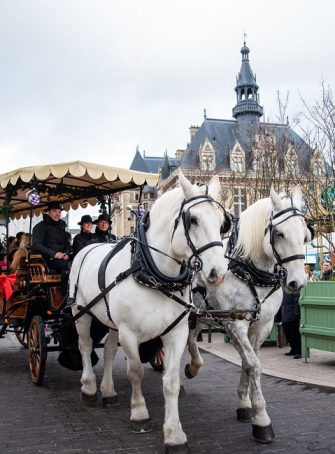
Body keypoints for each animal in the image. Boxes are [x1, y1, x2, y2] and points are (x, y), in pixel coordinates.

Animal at [68, 170, 231, 454]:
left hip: (110, 321)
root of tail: (86, 248)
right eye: (193, 219)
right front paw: (139, 414)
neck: (154, 274)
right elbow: (135, 372)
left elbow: (170, 382)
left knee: (108, 352)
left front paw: (174, 434)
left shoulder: (175, 333)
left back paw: (108, 392)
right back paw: (88, 388)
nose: (217, 273)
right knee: (86, 346)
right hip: (82, 313)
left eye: (223, 223)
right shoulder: (129, 332)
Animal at [185, 184, 312, 444]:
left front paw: (244, 405)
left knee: (192, 338)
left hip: (201, 314)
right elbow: (253, 365)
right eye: (279, 233)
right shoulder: (236, 325)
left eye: (305, 234)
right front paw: (262, 420)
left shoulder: (261, 326)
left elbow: (247, 362)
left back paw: (194, 365)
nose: (297, 282)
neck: (249, 272)